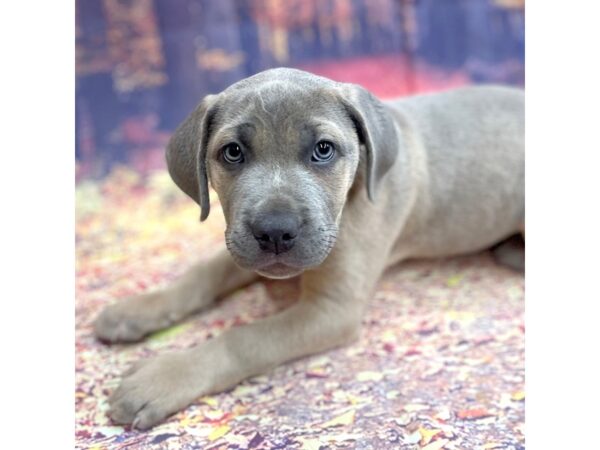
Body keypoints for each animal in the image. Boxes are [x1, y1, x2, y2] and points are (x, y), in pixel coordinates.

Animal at [95, 68, 524, 430]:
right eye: (232, 152)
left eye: (323, 149)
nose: (275, 233)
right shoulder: (242, 247)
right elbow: (203, 273)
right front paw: (139, 308)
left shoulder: (332, 310)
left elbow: (245, 338)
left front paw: (163, 378)